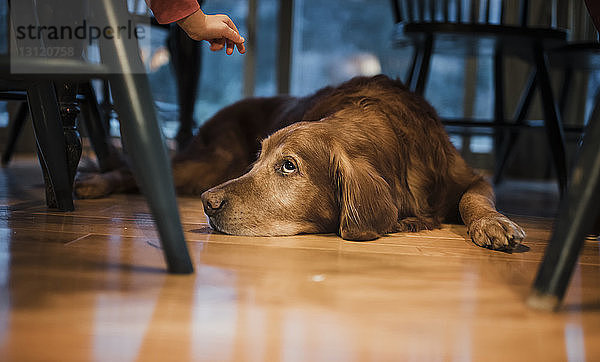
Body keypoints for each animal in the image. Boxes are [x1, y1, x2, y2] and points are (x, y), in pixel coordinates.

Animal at [76, 75, 524, 250]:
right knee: (139, 168)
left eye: (288, 166)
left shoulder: (468, 176)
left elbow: (473, 198)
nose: (208, 203)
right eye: (258, 160)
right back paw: (92, 180)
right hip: (206, 163)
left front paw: (493, 223)